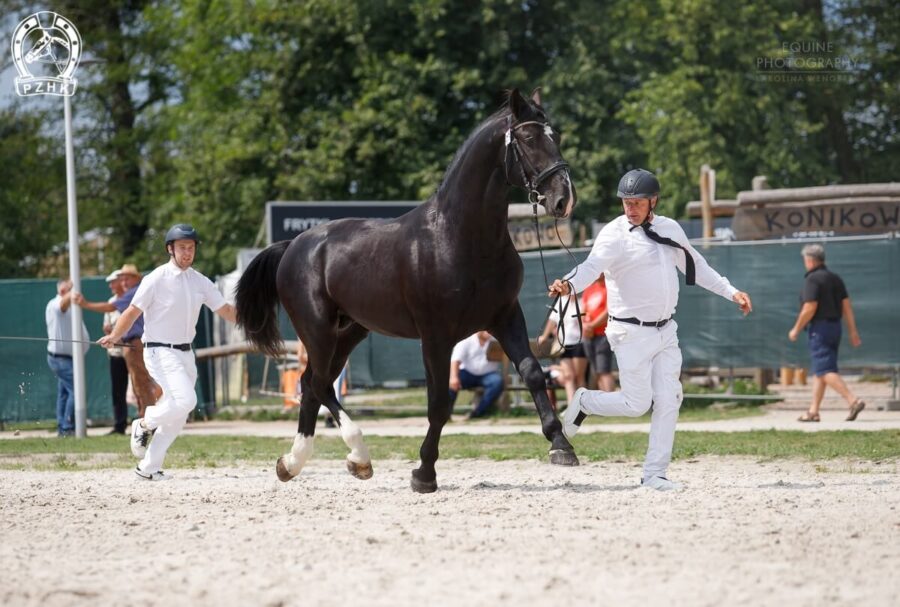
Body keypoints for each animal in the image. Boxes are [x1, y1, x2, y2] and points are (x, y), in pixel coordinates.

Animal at [236, 88, 580, 494]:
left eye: (555, 136)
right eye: (527, 138)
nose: (564, 199)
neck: (460, 237)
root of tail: (294, 245)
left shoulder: (505, 315)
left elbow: (531, 372)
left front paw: (561, 445)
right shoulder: (435, 334)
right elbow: (438, 404)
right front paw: (424, 473)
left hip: (349, 331)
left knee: (312, 385)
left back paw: (297, 463)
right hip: (317, 330)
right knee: (318, 384)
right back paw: (353, 457)